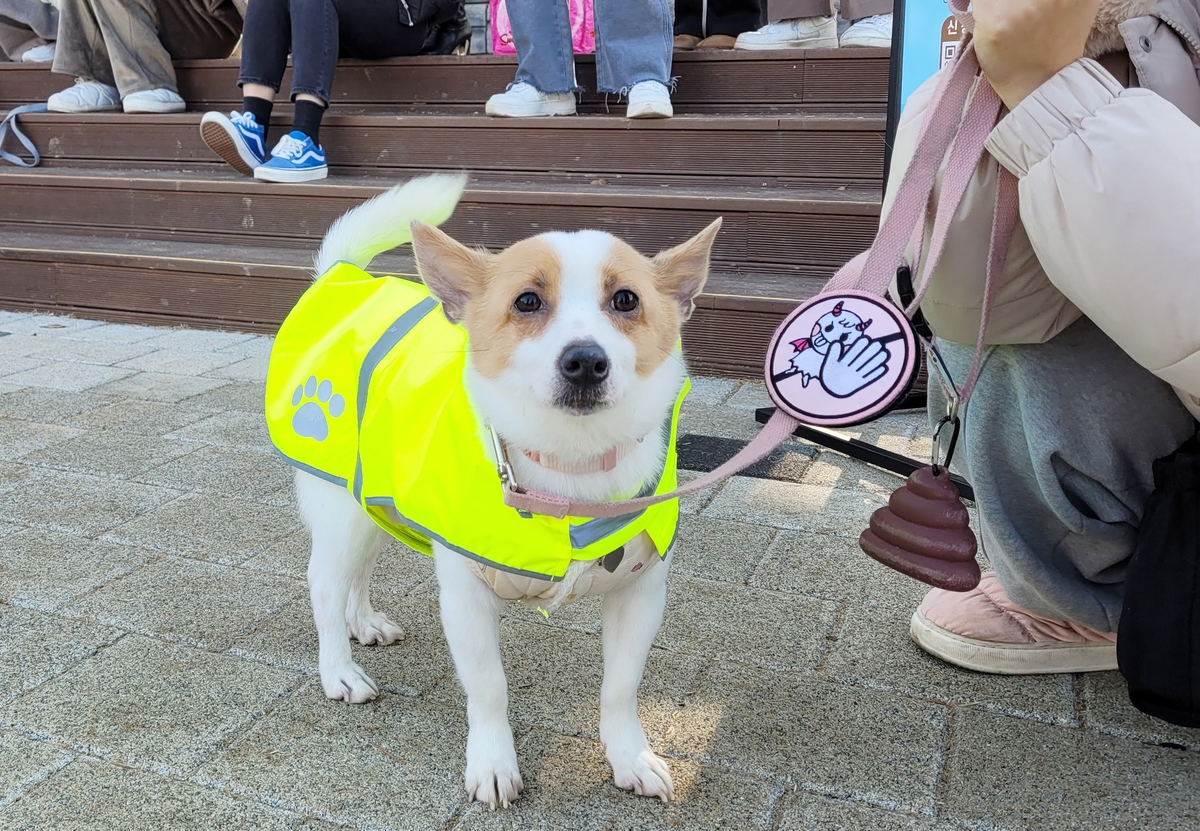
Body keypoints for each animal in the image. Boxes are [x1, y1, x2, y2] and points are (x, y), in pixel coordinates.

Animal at [276, 174, 715, 806]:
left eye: (626, 300)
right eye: (527, 301)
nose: (585, 360)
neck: (569, 469)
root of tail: (340, 276)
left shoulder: (641, 594)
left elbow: (620, 688)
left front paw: (629, 756)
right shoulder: (466, 597)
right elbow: (488, 688)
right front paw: (492, 763)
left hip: (376, 499)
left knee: (357, 572)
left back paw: (365, 624)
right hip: (339, 512)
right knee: (325, 584)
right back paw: (339, 669)